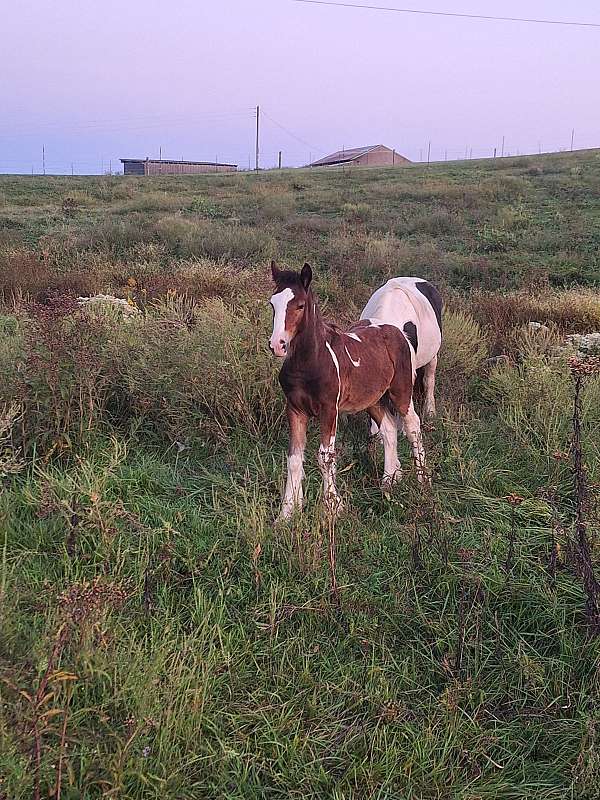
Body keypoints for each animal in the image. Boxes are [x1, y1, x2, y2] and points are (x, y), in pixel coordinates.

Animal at [268, 262, 426, 520]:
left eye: (300, 305)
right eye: (272, 303)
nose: (277, 345)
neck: (310, 362)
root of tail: (398, 332)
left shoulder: (329, 410)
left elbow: (325, 457)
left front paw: (333, 507)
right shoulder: (295, 410)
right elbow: (294, 458)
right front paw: (287, 513)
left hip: (401, 391)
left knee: (412, 425)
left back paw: (423, 479)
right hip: (373, 399)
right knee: (389, 429)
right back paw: (389, 481)